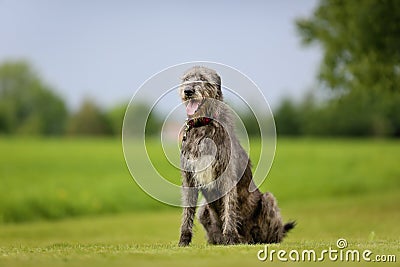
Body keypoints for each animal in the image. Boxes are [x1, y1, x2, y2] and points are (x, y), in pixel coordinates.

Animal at [178, 66, 294, 247]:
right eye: (186, 79)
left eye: (203, 78)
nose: (188, 91)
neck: (202, 125)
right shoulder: (188, 177)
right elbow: (187, 212)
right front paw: (183, 241)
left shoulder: (227, 176)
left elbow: (229, 208)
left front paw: (231, 237)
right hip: (204, 210)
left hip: (268, 200)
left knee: (271, 233)